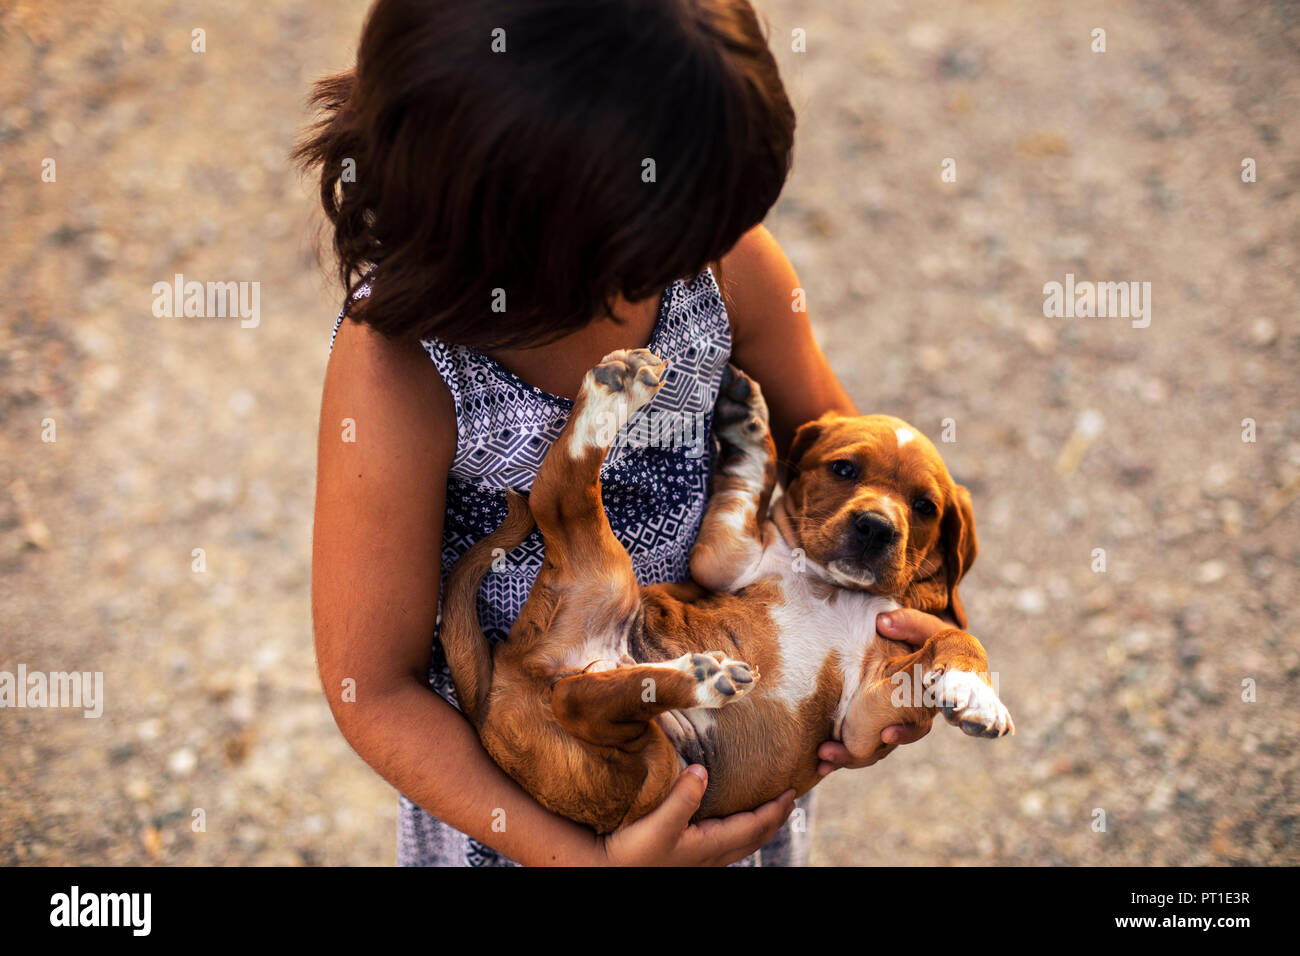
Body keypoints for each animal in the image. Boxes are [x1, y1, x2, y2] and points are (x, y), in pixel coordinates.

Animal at [441, 348, 1008, 832]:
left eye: (925, 507)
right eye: (844, 469)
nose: (876, 527)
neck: (830, 588)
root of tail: (500, 685)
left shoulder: (865, 718)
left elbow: (955, 639)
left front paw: (973, 690)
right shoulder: (725, 557)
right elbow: (750, 479)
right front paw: (752, 429)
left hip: (642, 743)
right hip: (641, 752)